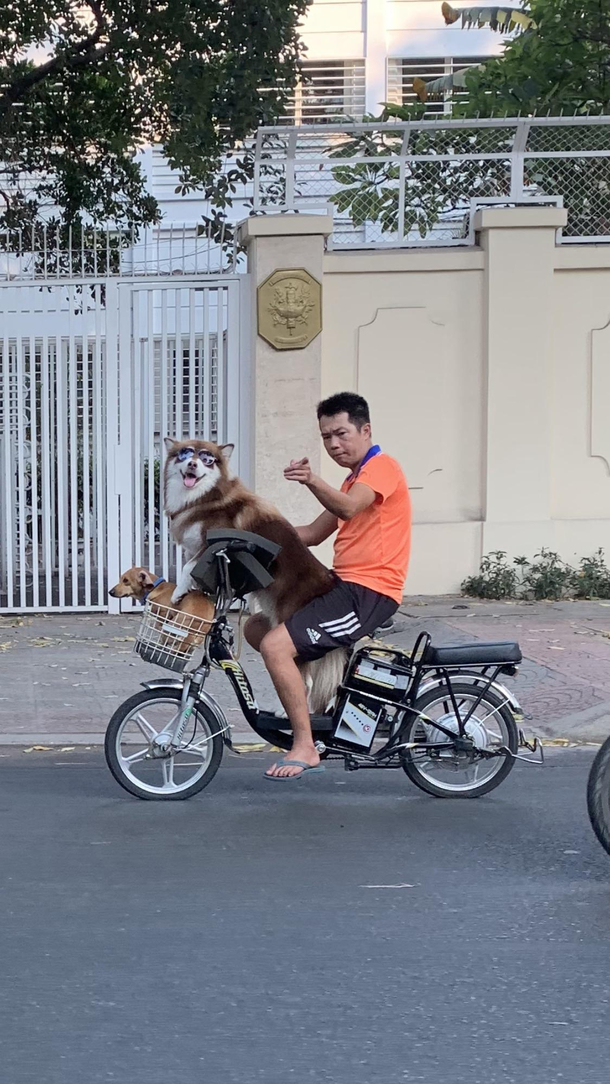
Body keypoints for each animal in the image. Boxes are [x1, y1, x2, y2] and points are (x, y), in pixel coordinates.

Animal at [163, 435, 348, 715]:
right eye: (185, 454)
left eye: (207, 458)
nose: (193, 464)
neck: (203, 497)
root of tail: (327, 584)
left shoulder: (215, 543)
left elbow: (186, 568)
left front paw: (177, 592)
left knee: (305, 680)